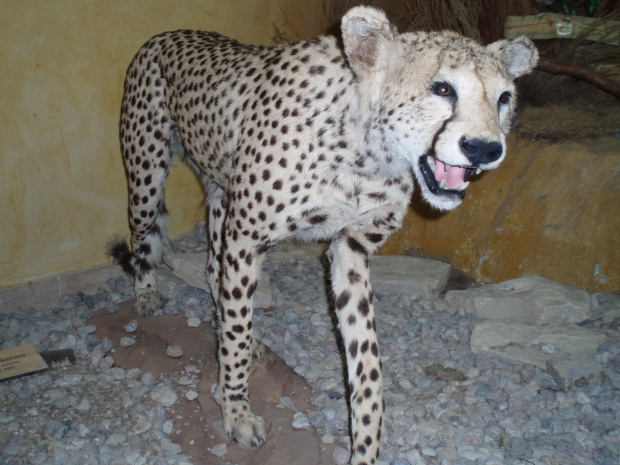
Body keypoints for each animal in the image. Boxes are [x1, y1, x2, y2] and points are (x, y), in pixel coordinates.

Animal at [110, 7, 536, 464]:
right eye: (442, 88)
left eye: (504, 98)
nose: (485, 149)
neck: (367, 152)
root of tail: (167, 33)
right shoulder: (246, 235)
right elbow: (237, 334)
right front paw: (236, 411)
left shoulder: (350, 249)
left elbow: (366, 361)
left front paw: (365, 447)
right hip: (146, 178)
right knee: (148, 243)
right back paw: (148, 296)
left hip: (222, 189)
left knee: (213, 269)